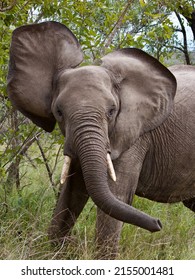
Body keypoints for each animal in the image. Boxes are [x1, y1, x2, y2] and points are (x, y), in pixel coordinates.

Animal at [6, 20, 195, 260]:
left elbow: (116, 196)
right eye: (59, 112)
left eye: (112, 111)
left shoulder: (135, 136)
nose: (158, 223)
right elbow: (71, 194)